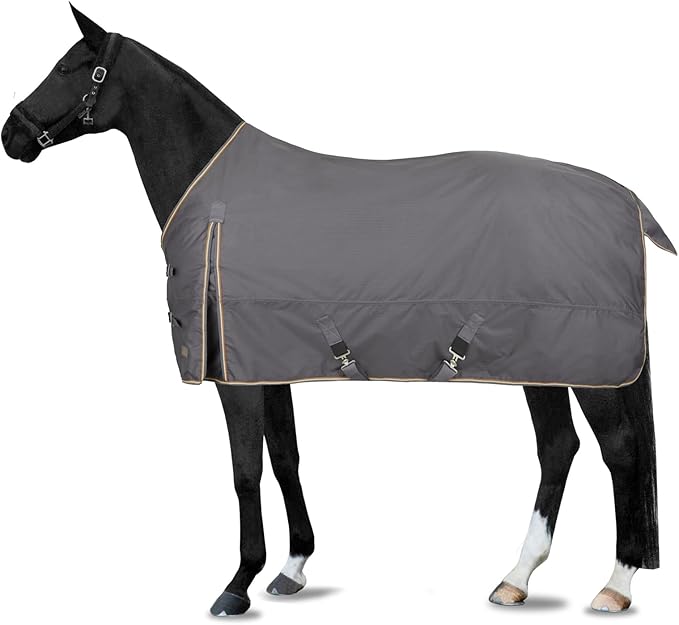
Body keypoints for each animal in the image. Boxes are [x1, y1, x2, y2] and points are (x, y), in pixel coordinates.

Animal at [2, 5, 667, 615]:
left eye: (70, 68)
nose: (13, 134)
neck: (217, 198)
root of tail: (626, 199)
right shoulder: (267, 364)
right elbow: (285, 459)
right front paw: (291, 567)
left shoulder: (235, 378)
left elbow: (245, 471)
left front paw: (236, 585)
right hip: (543, 361)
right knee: (558, 447)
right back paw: (516, 578)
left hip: (591, 368)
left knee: (620, 450)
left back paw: (615, 585)